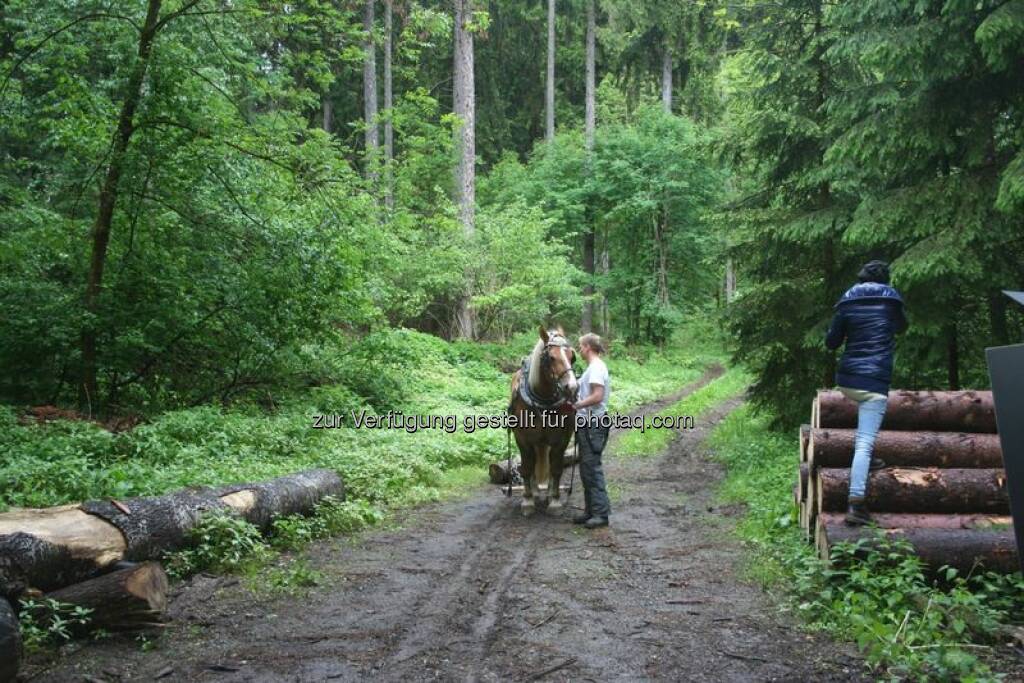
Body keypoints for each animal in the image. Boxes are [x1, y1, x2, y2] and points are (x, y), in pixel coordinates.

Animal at [509, 327, 581, 516]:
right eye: (551, 357)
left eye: (572, 356)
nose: (572, 388)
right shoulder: (522, 439)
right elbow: (527, 468)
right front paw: (527, 501)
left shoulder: (561, 439)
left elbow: (556, 469)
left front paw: (554, 501)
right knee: (532, 462)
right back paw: (534, 492)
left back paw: (547, 493)